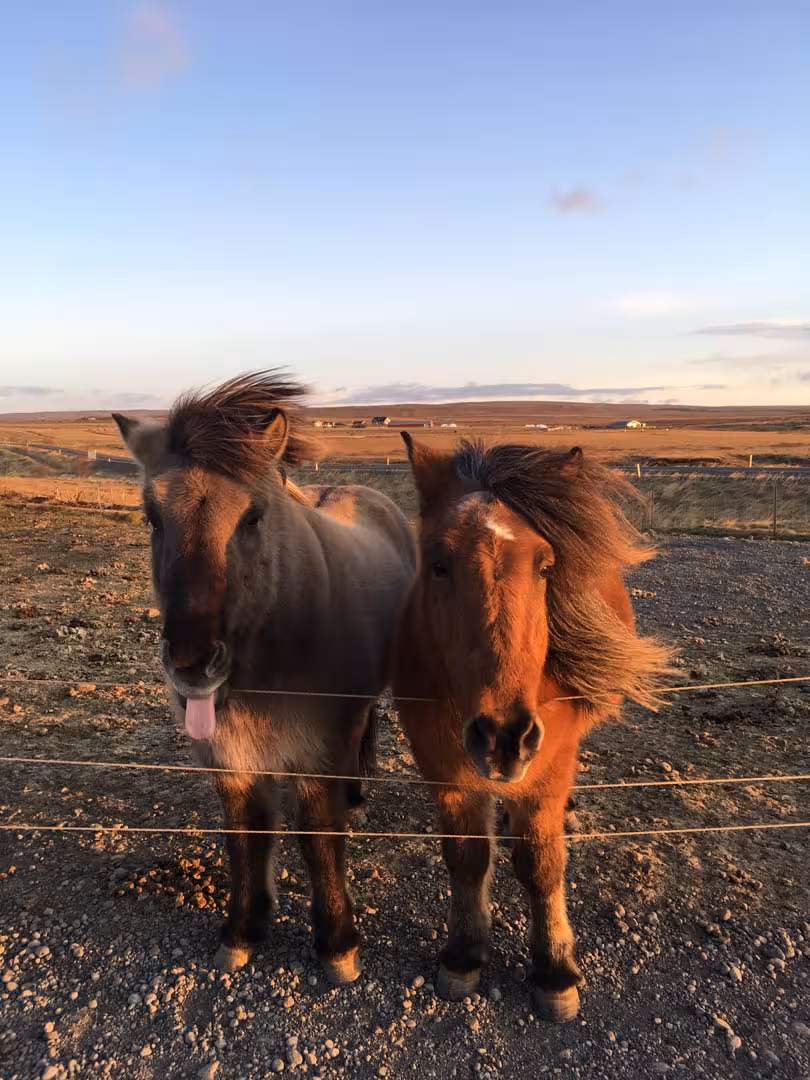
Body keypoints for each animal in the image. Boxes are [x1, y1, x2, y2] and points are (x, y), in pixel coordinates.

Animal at [114, 371, 416, 983]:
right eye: (152, 517)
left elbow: (319, 838)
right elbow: (246, 837)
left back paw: (357, 792)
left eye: (253, 516)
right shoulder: (228, 757)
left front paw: (337, 943)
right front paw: (243, 929)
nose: (192, 664)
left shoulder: (317, 755)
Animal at [392, 435, 671, 1021]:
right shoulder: (445, 772)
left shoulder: (546, 771)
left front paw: (555, 970)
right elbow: (467, 858)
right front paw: (464, 954)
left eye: (545, 567)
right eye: (438, 564)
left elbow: (542, 864)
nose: (503, 737)